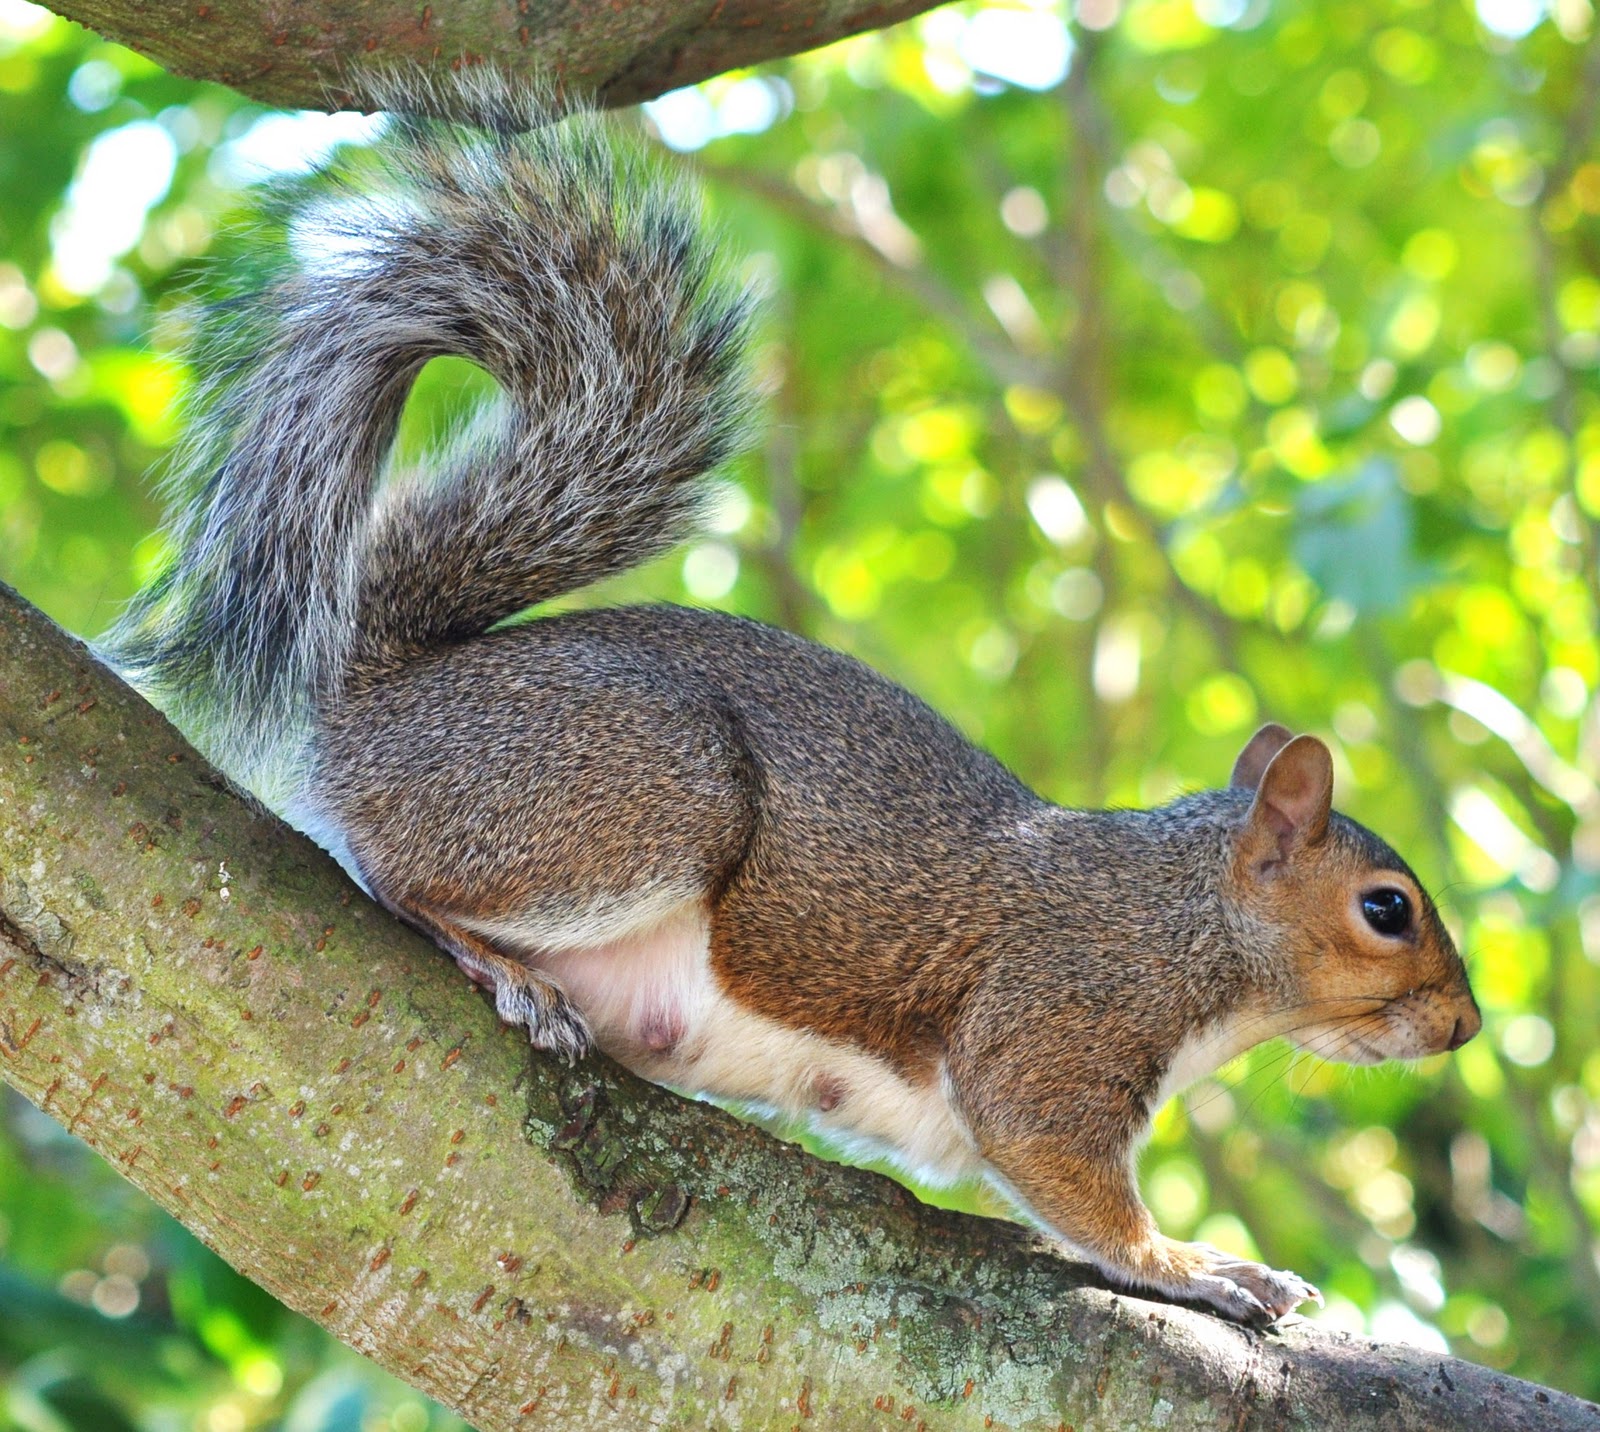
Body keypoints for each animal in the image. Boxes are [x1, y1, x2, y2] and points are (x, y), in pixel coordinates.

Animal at [101, 73, 1482, 1326]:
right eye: (1386, 909)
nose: (1465, 1027)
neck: (1186, 919)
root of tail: (386, 694)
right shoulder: (1059, 1015)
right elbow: (1061, 1170)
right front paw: (1202, 1267)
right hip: (647, 790)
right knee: (401, 875)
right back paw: (505, 969)